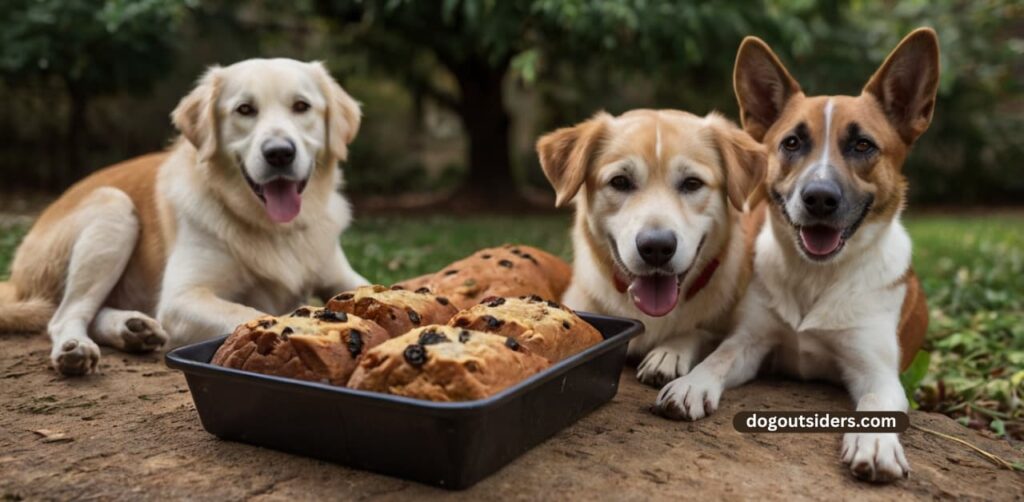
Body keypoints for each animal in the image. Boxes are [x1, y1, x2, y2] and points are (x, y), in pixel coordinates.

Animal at [0, 56, 368, 374]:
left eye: (301, 106)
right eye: (245, 110)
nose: (279, 153)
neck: (273, 228)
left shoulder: (343, 277)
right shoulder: (182, 300)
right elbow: (251, 313)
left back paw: (133, 328)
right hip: (114, 208)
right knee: (65, 315)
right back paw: (76, 348)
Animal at [655, 28, 937, 481]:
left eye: (862, 145)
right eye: (792, 142)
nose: (819, 198)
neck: (816, 277)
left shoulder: (877, 371)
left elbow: (878, 402)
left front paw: (875, 442)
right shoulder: (753, 341)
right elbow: (721, 355)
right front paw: (693, 383)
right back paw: (672, 351)